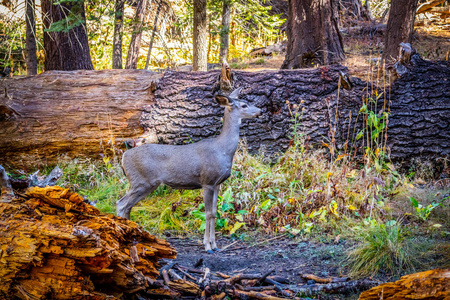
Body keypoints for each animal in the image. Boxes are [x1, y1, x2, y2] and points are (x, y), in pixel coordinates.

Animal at [118, 88, 262, 252]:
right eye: (244, 105)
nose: (260, 111)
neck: (223, 150)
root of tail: (124, 156)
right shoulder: (207, 181)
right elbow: (207, 213)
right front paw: (207, 246)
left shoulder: (218, 184)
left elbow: (214, 213)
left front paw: (215, 245)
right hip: (141, 181)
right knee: (121, 204)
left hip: (144, 184)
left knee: (128, 206)